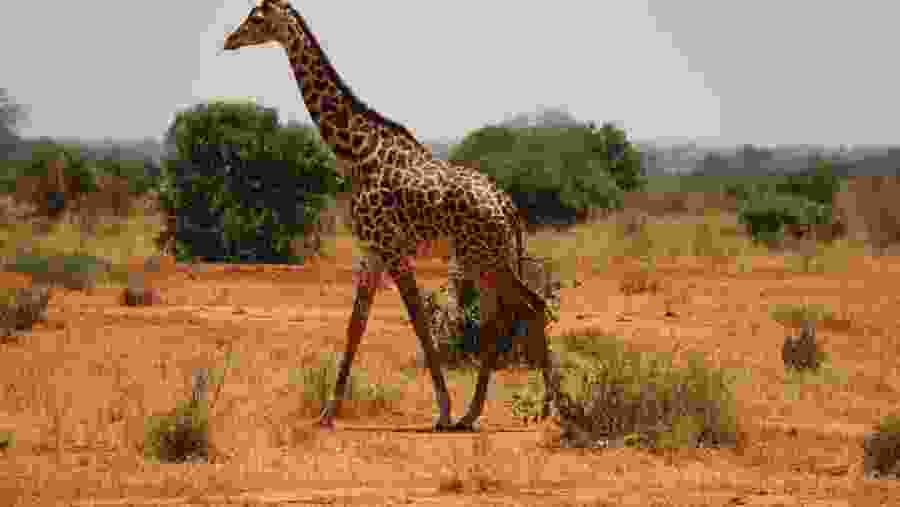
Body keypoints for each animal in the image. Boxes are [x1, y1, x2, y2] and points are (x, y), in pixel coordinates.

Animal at [223, 0, 560, 431]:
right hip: (481, 259)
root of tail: (506, 203)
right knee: (497, 317)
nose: (230, 40)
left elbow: (419, 324)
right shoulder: (372, 251)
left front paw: (442, 411)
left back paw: (543, 408)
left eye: (256, 17)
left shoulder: (393, 249)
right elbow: (355, 326)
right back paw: (473, 414)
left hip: (486, 256)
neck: (355, 152)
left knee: (530, 306)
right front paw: (327, 413)